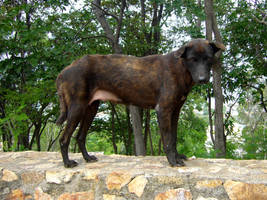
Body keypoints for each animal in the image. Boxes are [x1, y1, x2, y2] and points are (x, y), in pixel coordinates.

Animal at [56, 38, 226, 167]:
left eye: (208, 58)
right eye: (192, 59)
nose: (202, 79)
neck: (181, 67)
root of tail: (64, 71)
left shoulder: (175, 112)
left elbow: (174, 137)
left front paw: (177, 156)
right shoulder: (163, 110)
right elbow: (167, 140)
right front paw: (173, 161)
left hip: (91, 108)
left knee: (80, 137)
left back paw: (87, 158)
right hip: (77, 107)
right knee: (64, 139)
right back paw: (68, 163)